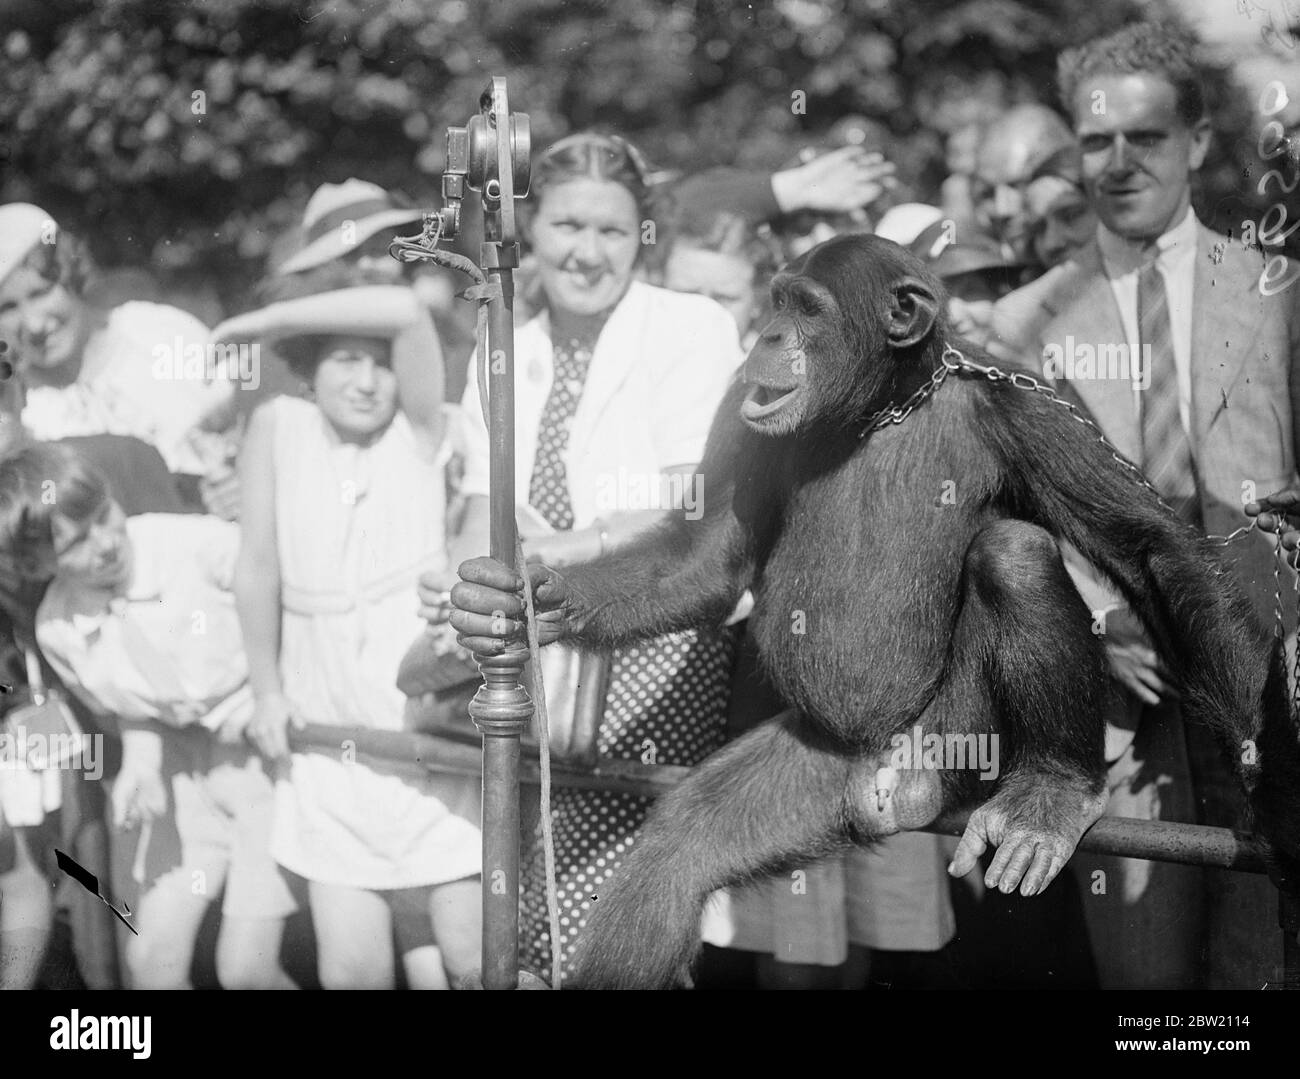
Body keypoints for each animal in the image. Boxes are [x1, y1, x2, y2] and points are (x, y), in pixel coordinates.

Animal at [449, 233, 1300, 987]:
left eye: (807, 308)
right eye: (778, 300)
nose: (766, 334)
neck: (883, 406)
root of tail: (885, 789)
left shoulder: (1033, 407)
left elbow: (1148, 547)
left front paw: (1263, 770)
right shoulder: (738, 406)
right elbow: (708, 551)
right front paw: (521, 600)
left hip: (955, 740)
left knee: (1015, 552)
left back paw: (1052, 793)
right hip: (815, 768)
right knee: (676, 854)